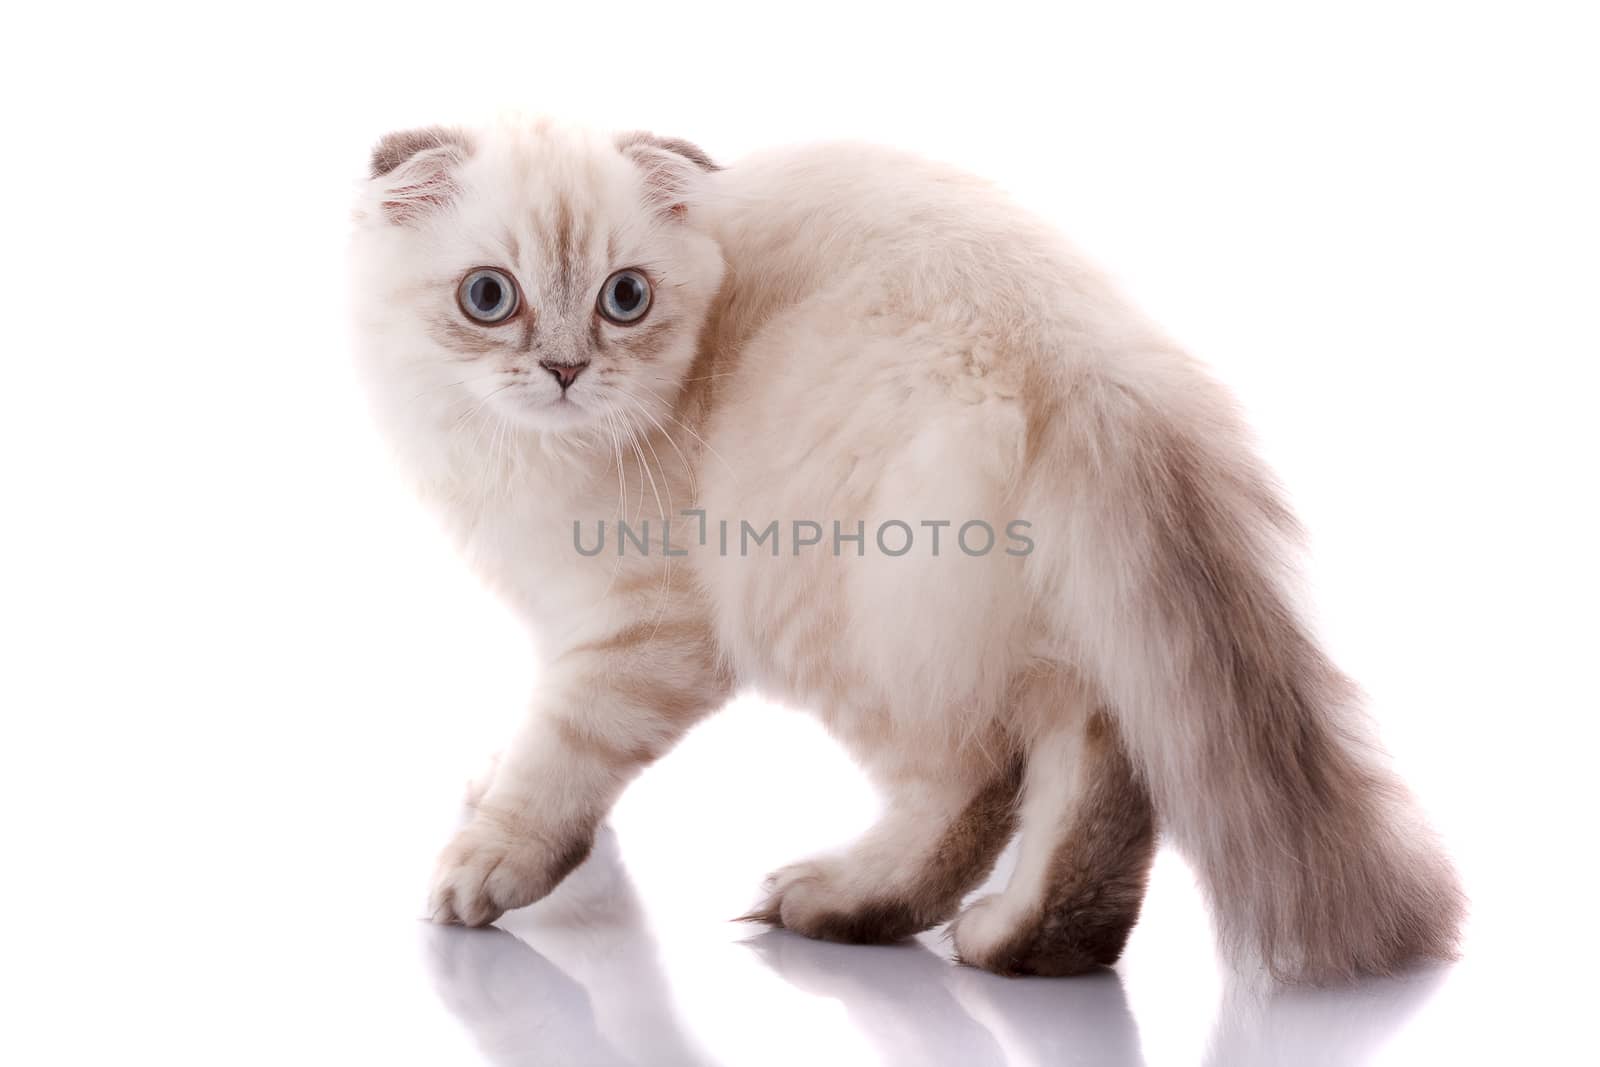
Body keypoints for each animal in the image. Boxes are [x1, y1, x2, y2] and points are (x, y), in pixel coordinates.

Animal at [347, 116, 1465, 985]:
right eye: (489, 297)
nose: (567, 369)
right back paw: (1034, 941)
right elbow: (531, 744)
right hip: (1044, 609)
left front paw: (485, 864)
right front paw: (489, 782)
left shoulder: (642, 625)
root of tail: (1089, 349)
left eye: (625, 298)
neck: (524, 451)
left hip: (817, 596)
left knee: (978, 779)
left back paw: (840, 902)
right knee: (1102, 745)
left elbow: (559, 758)